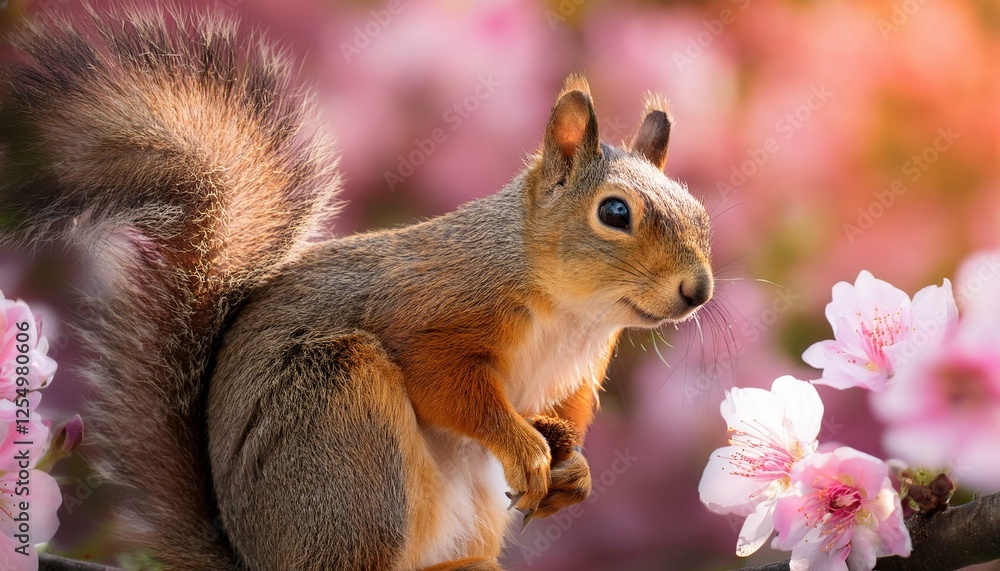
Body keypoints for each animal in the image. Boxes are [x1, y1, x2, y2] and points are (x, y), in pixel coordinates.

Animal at [0, 7, 713, 571]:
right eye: (614, 212)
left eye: (702, 212)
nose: (698, 290)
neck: (572, 314)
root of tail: (256, 556)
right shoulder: (435, 312)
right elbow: (447, 385)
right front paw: (525, 449)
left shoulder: (578, 372)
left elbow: (566, 413)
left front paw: (574, 472)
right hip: (343, 421)